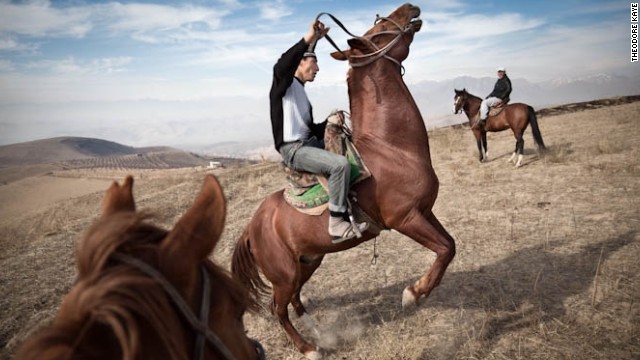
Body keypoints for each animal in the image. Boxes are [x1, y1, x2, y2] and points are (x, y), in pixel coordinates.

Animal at [231, 3, 456, 360]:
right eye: (375, 34)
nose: (410, 7)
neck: (391, 148)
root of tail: (252, 228)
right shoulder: (405, 218)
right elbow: (445, 250)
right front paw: (414, 293)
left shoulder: (425, 212)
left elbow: (450, 245)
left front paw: (418, 290)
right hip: (285, 274)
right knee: (278, 308)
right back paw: (308, 347)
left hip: (309, 260)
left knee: (296, 300)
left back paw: (317, 330)